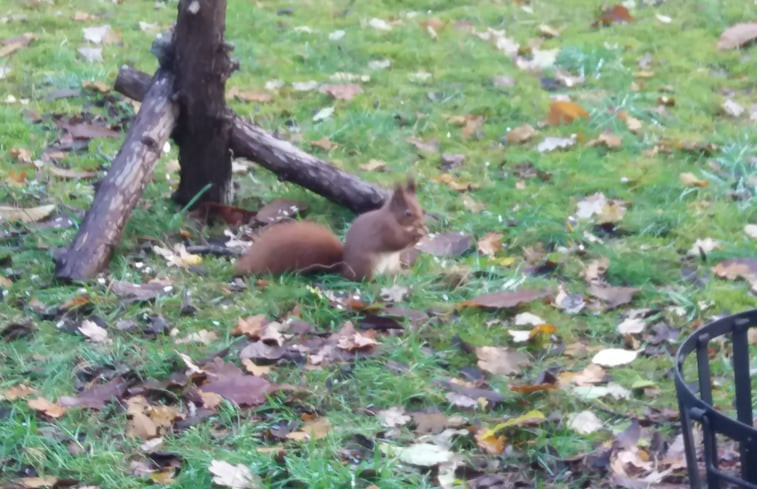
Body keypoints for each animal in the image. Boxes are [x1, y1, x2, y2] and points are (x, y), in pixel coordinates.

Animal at [235, 179, 426, 280]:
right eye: (408, 213)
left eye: (421, 208)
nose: (422, 223)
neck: (394, 218)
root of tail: (343, 268)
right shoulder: (384, 228)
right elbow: (395, 240)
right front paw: (416, 234)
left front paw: (422, 231)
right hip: (368, 264)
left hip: (392, 263)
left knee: (392, 273)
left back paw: (404, 273)